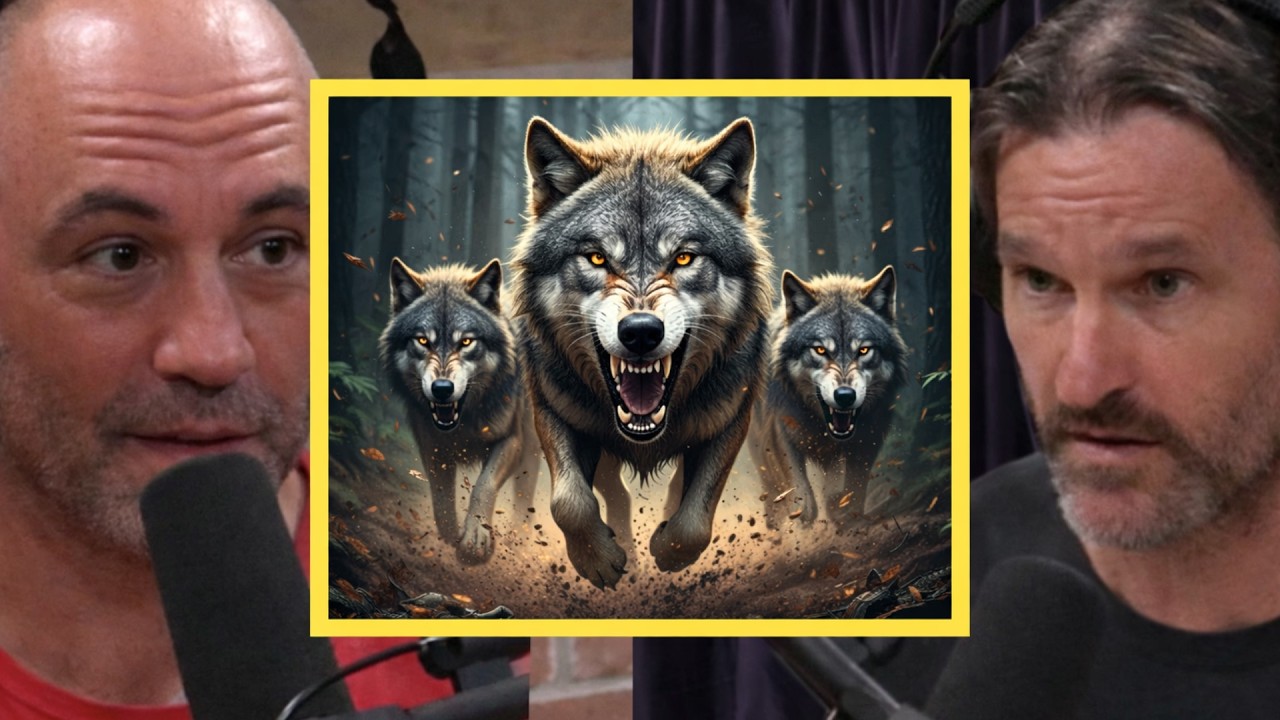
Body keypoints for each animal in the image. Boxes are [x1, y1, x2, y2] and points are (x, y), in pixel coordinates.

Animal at [379, 258, 540, 564]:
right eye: (423, 341)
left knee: (526, 494)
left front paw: (476, 538)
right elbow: (440, 495)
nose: (442, 388)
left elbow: (483, 485)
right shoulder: (431, 445)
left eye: (466, 342)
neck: (464, 421)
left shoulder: (511, 440)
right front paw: (450, 534)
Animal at [511, 116, 775, 589]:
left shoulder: (730, 421)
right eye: (596, 258)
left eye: (684, 258)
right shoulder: (552, 411)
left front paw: (666, 550)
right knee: (614, 493)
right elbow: (569, 503)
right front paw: (598, 560)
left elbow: (695, 518)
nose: (640, 332)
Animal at [748, 267, 908, 526]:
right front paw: (801, 514)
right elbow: (798, 485)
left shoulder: (870, 436)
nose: (844, 396)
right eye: (820, 350)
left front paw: (844, 510)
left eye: (864, 350)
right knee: (770, 486)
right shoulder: (779, 428)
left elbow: (854, 485)